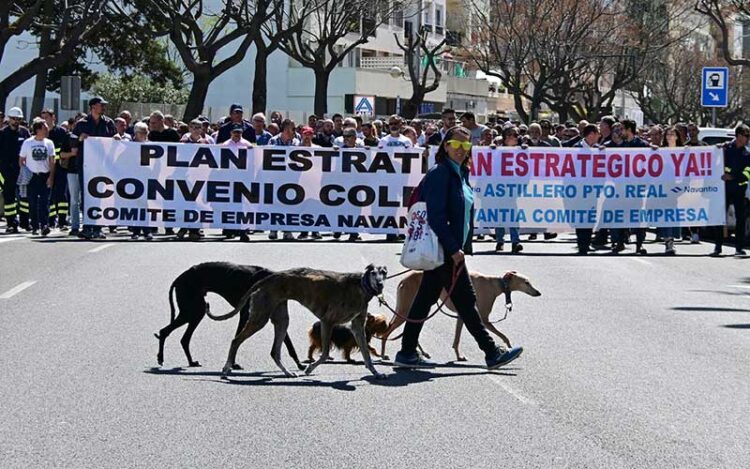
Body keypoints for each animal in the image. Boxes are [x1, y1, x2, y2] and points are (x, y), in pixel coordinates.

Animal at [382, 268, 540, 360]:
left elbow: (456, 340)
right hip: (405, 309)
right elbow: (503, 335)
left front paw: (459, 356)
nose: (538, 293)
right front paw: (509, 346)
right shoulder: (484, 319)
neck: (495, 284)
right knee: (387, 332)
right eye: (526, 282)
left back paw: (420, 353)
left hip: (412, 310)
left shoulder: (462, 315)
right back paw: (383, 354)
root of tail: (402, 280)